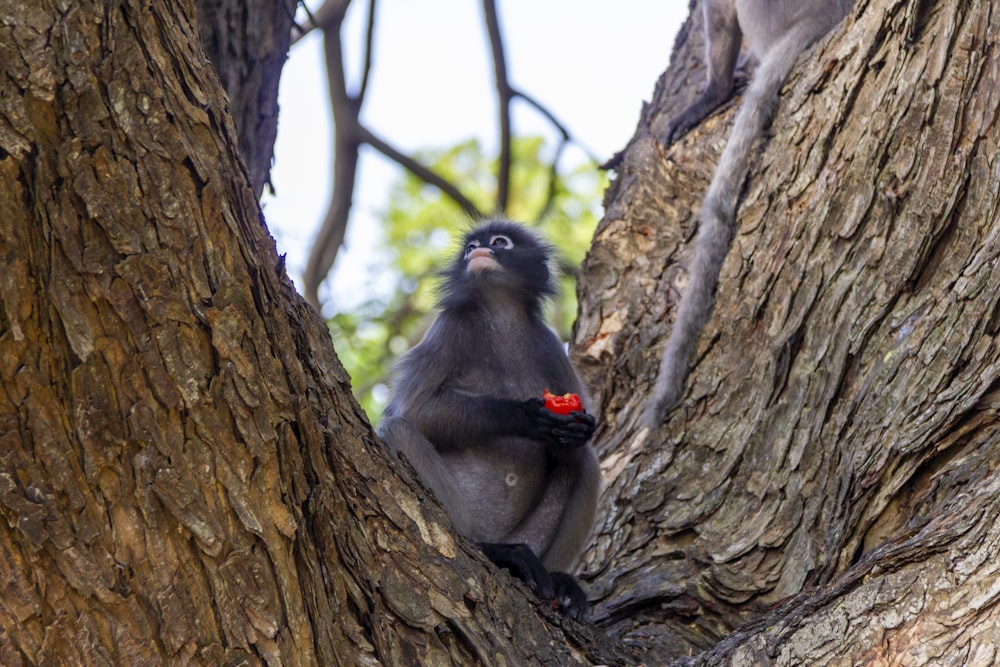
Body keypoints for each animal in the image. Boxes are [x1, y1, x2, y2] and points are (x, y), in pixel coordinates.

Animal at [376, 219, 596, 620]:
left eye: (499, 242)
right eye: (470, 246)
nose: (479, 250)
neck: (501, 314)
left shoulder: (549, 346)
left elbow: (579, 441)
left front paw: (578, 428)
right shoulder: (450, 328)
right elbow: (412, 411)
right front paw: (524, 415)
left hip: (531, 536)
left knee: (584, 460)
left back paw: (558, 581)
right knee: (397, 429)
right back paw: (494, 552)